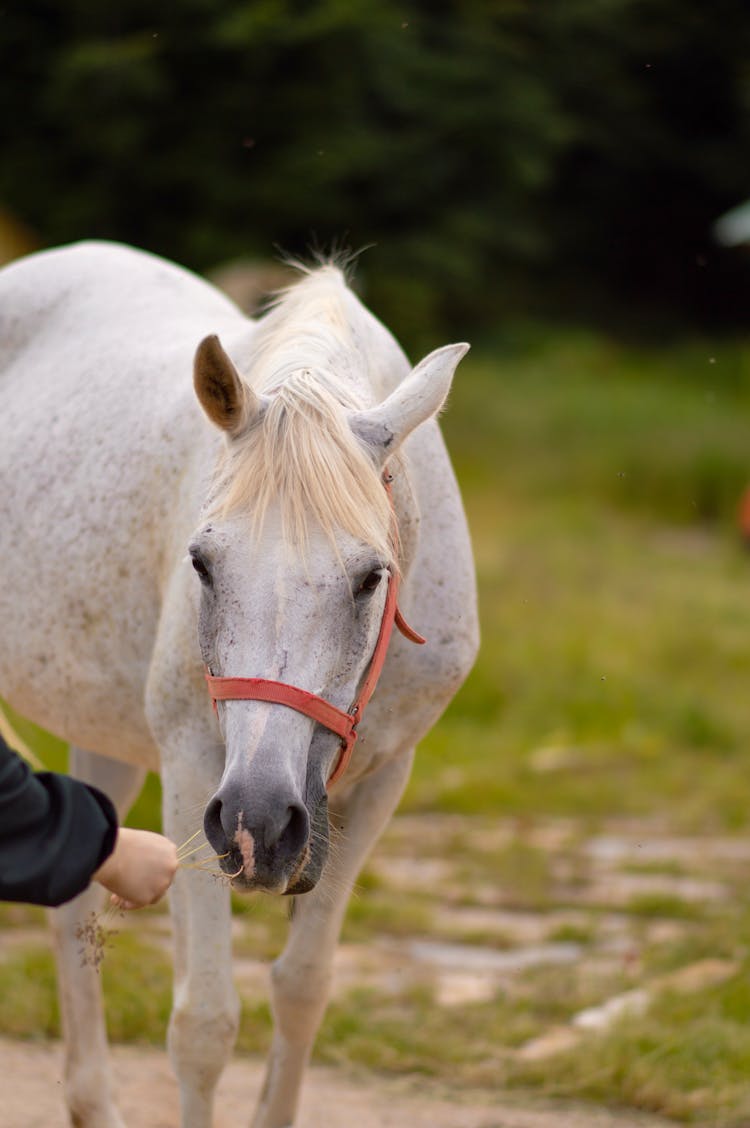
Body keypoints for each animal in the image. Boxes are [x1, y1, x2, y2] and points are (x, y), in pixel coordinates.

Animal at [0, 240, 480, 1128]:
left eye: (372, 576)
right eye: (201, 562)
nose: (259, 821)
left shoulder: (379, 784)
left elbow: (302, 989)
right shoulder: (196, 771)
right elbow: (204, 1025)